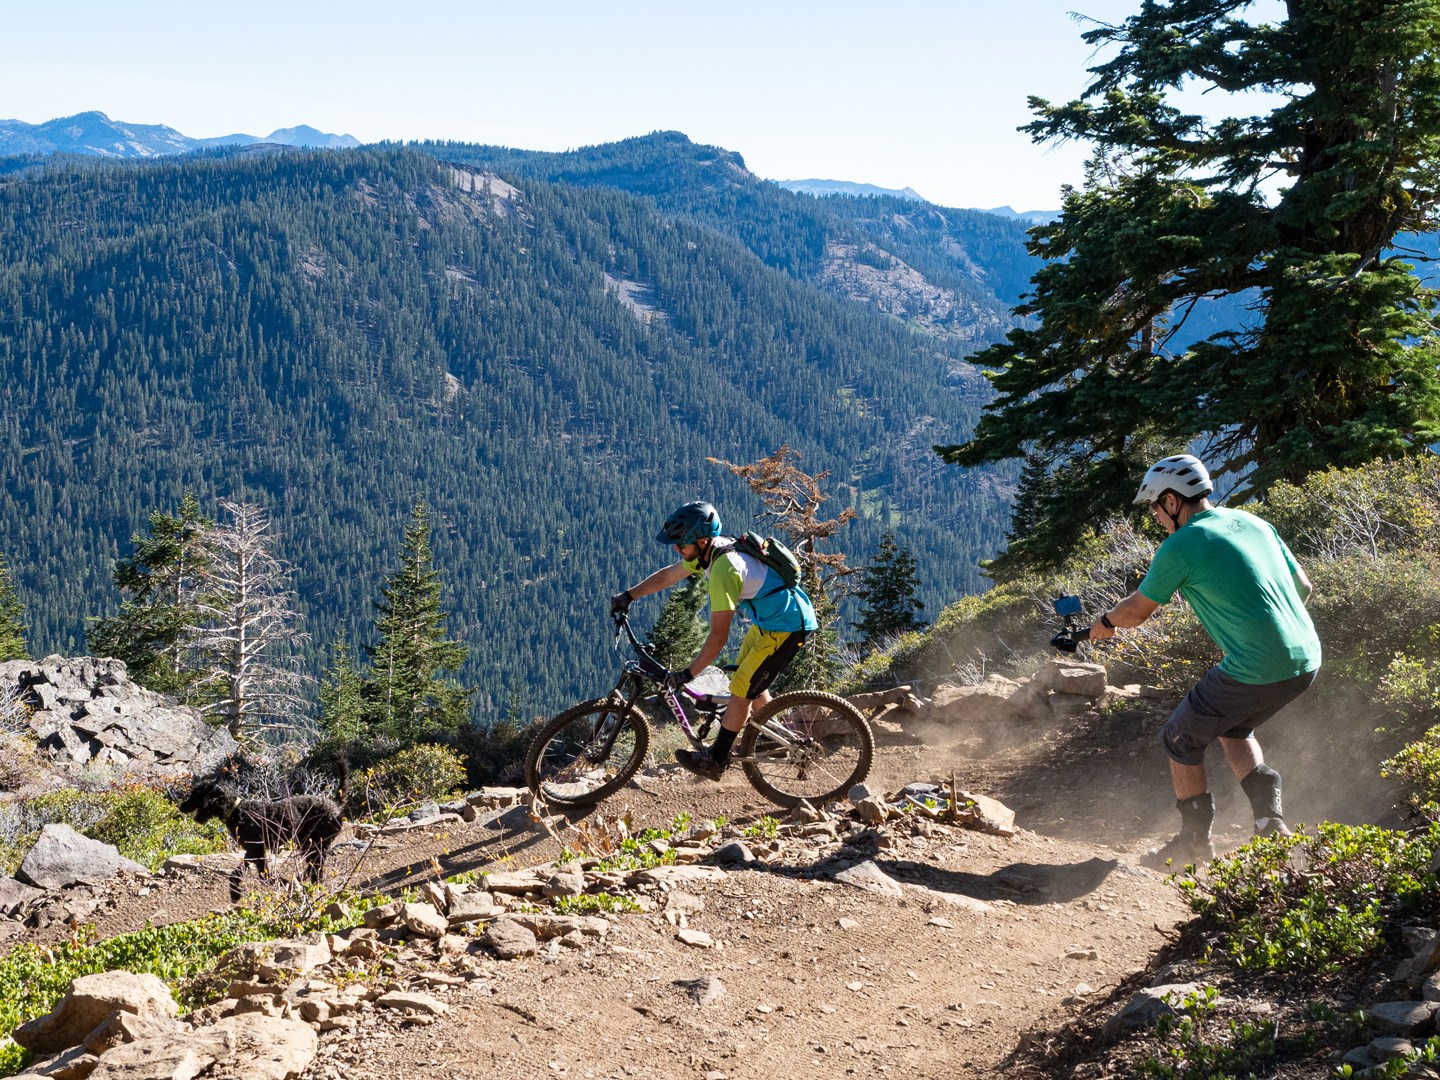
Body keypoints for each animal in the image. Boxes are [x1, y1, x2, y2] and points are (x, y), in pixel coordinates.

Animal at [180, 777, 345, 904]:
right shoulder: (254, 851)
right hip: (307, 843)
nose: (181, 807)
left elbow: (253, 874)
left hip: (316, 843)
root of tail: (336, 807)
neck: (237, 811)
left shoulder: (256, 849)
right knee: (313, 866)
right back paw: (301, 881)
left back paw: (308, 883)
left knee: (316, 867)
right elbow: (250, 873)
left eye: (196, 795)